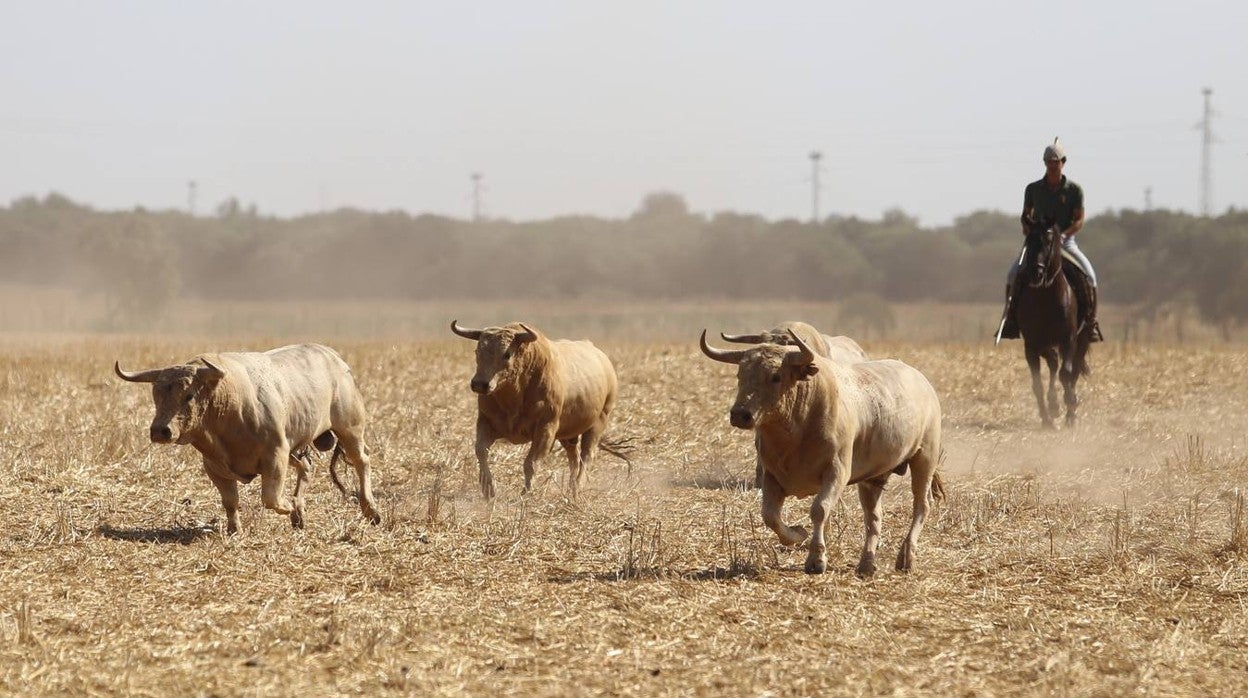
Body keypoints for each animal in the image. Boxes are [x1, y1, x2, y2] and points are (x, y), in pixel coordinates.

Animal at [116, 344, 379, 534]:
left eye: (189, 395)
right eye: (156, 396)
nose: (161, 430)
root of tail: (334, 358)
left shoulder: (276, 456)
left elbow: (270, 498)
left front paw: (287, 506)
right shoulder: (215, 467)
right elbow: (230, 501)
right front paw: (235, 530)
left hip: (350, 429)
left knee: (361, 461)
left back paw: (370, 510)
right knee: (306, 467)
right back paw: (299, 513)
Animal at [451, 319, 621, 499]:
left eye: (507, 354)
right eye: (477, 351)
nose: (480, 384)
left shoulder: (545, 430)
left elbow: (530, 463)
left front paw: (526, 494)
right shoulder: (485, 423)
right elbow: (481, 452)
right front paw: (488, 489)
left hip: (597, 424)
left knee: (586, 456)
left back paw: (576, 489)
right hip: (568, 435)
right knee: (574, 459)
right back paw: (570, 489)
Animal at [703, 329, 943, 576]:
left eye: (776, 376)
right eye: (740, 374)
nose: (740, 414)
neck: (797, 429)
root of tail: (923, 383)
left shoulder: (837, 472)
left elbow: (819, 509)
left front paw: (816, 559)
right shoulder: (771, 476)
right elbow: (770, 515)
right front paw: (798, 533)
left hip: (924, 459)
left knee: (921, 505)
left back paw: (906, 557)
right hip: (874, 478)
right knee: (874, 517)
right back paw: (866, 564)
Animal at [1013, 218, 1093, 429]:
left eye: (1049, 241)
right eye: (1028, 240)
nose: (1036, 273)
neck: (1045, 298)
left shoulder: (1068, 340)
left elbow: (1066, 374)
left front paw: (1070, 408)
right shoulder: (1032, 345)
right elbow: (1037, 383)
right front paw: (1047, 418)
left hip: (1082, 340)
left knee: (1072, 371)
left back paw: (1069, 408)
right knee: (1054, 363)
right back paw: (1054, 406)